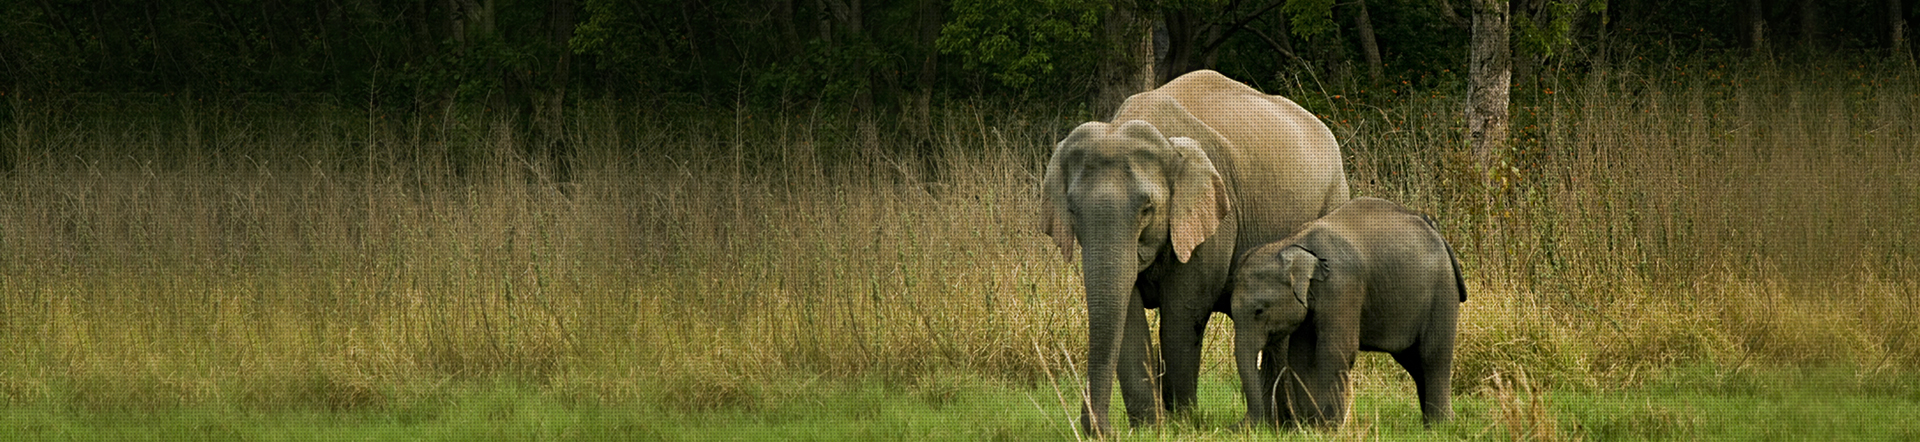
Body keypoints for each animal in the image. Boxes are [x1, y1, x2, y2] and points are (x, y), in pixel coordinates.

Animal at [1236, 196, 1459, 428]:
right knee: (1413, 361)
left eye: (1259, 311)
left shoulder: (1342, 286)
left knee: (1432, 355)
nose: (1243, 426)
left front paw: (1331, 427)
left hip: (1443, 291)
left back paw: (1440, 426)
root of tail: (1437, 234)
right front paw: (1313, 426)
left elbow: (1335, 350)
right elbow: (1301, 357)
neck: (1292, 243)